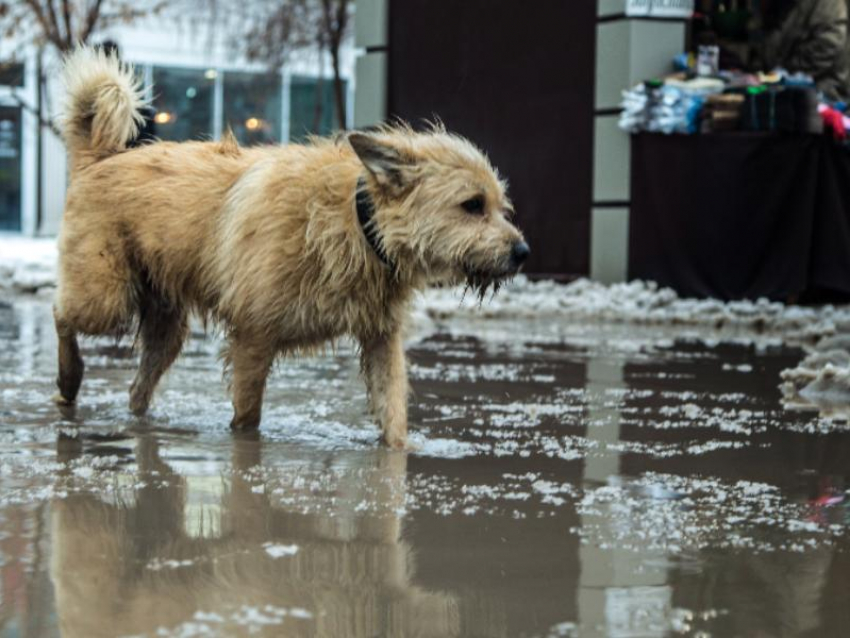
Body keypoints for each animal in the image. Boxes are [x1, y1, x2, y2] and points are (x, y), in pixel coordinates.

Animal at [53, 47, 528, 448]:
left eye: (500, 206)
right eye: (472, 205)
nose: (522, 252)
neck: (357, 224)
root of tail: (102, 157)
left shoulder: (381, 339)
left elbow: (393, 414)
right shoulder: (253, 338)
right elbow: (247, 416)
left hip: (166, 326)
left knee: (138, 387)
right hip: (105, 297)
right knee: (61, 314)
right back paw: (69, 380)